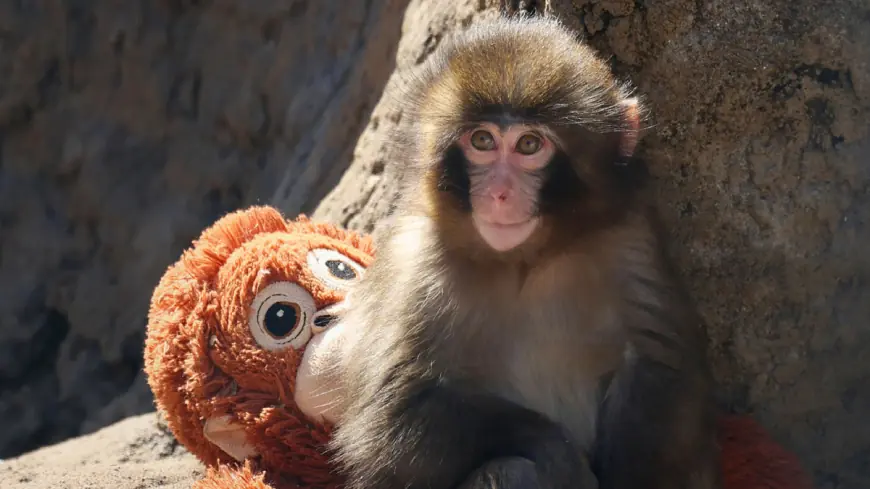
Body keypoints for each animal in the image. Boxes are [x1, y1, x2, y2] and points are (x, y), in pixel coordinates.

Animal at [326, 13, 722, 489]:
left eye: (529, 145)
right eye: (482, 141)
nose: (499, 193)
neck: (525, 261)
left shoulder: (629, 240)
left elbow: (660, 369)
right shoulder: (416, 264)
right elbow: (391, 422)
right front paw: (557, 452)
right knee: (511, 469)